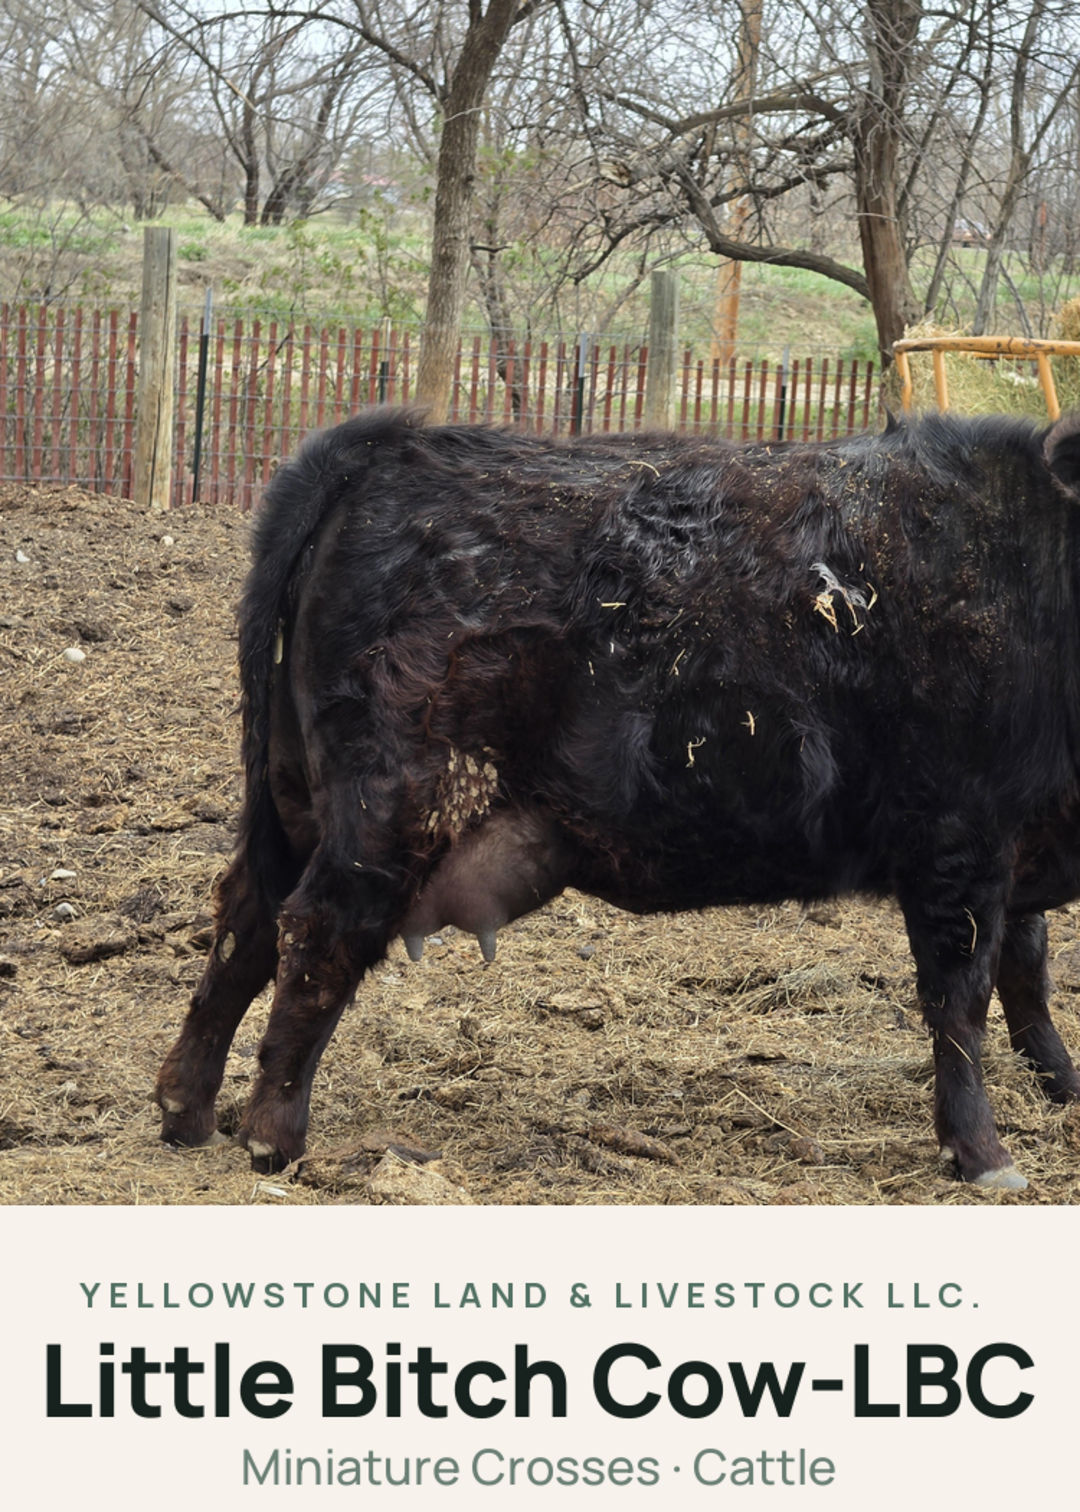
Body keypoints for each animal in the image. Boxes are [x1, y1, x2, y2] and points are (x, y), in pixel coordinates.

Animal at [156, 406, 1080, 1191]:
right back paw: (273, 1135)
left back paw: (185, 1108)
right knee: (316, 930)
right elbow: (961, 999)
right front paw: (984, 1154)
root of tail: (389, 447)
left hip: (294, 803)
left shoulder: (1015, 852)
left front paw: (1063, 1085)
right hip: (393, 807)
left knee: (245, 922)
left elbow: (1027, 972)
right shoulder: (959, 844)